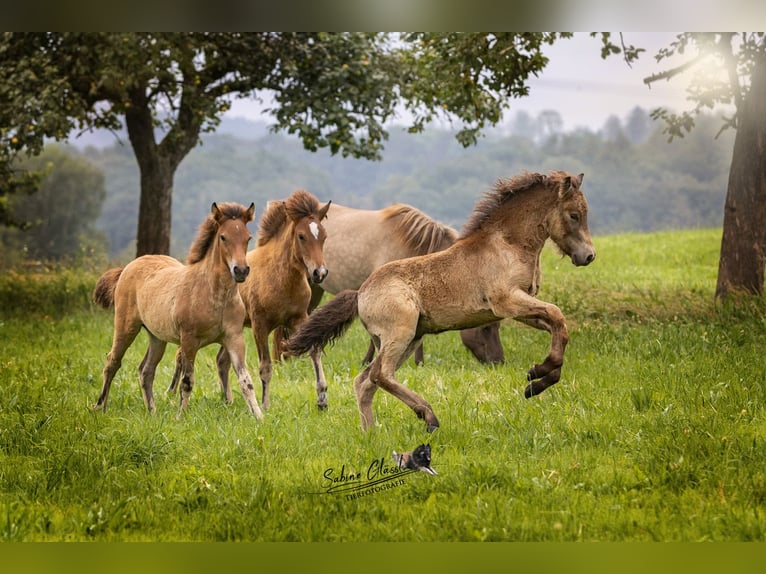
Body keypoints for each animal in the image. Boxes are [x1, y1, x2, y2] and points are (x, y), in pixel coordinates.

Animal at [93, 202, 264, 418]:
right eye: (223, 237)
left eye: (248, 238)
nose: (241, 271)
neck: (216, 296)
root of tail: (128, 267)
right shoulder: (189, 340)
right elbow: (187, 381)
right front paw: (181, 417)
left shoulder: (234, 338)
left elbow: (246, 381)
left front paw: (260, 417)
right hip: (126, 328)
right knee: (112, 362)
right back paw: (100, 407)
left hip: (157, 337)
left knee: (146, 370)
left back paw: (153, 412)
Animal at [170, 191, 332, 412]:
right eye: (301, 236)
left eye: (324, 236)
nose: (319, 273)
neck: (282, 278)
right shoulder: (259, 325)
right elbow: (265, 367)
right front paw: (265, 405)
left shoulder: (299, 318)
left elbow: (314, 351)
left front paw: (322, 399)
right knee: (181, 355)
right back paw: (170, 395)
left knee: (221, 361)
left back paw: (227, 401)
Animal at [272, 200, 508, 366]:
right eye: (486, 328)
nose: (498, 362)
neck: (411, 244)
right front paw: (370, 360)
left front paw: (418, 362)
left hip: (316, 287)